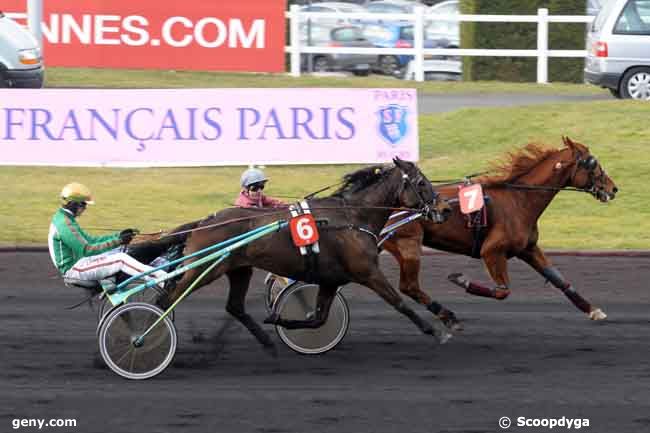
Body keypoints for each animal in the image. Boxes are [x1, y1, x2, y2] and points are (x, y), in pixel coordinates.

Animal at [380, 137, 616, 330]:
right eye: (592, 163)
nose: (613, 188)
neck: (519, 200)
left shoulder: (528, 248)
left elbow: (559, 280)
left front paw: (593, 310)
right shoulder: (492, 251)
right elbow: (502, 291)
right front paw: (461, 280)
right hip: (408, 243)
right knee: (409, 286)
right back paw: (447, 315)